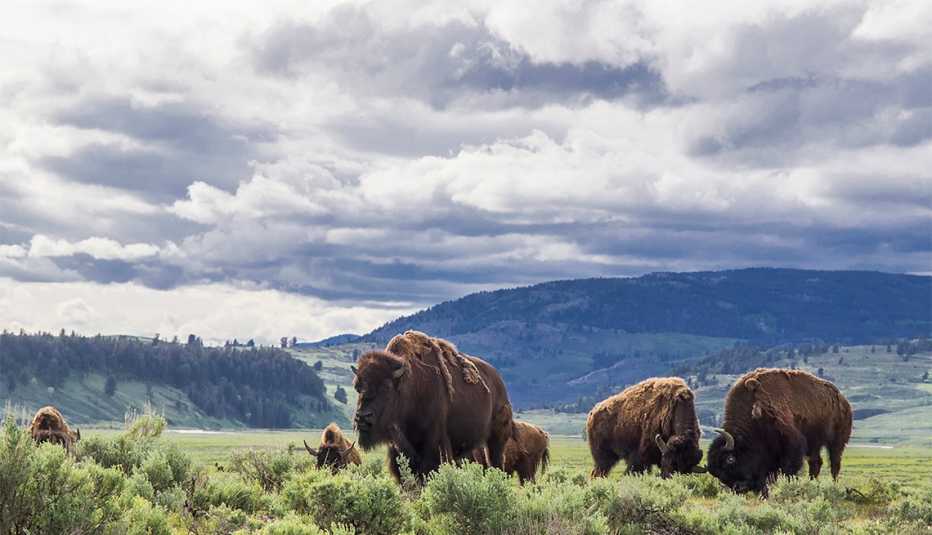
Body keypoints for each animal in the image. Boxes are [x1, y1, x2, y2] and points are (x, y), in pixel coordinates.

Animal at [352, 330, 515, 482]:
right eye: (357, 387)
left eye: (386, 387)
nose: (362, 417)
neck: (410, 386)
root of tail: (499, 381)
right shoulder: (397, 448)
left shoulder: (434, 443)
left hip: (496, 438)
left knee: (496, 460)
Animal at [707, 368, 853, 496]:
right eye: (717, 473)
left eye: (730, 459)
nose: (738, 488)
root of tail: (843, 400)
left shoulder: (792, 443)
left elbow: (788, 469)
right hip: (814, 444)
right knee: (816, 462)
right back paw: (813, 483)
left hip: (837, 442)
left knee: (834, 463)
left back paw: (833, 485)